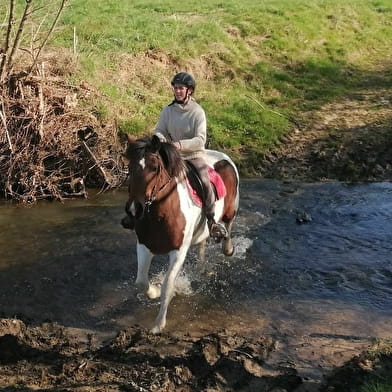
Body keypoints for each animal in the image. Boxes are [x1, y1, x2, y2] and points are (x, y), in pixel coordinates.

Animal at [122, 136, 239, 334]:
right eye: (130, 167)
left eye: (155, 168)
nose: (134, 209)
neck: (161, 214)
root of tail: (223, 156)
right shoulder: (144, 245)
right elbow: (141, 282)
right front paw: (154, 291)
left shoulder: (179, 251)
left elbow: (168, 285)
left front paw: (158, 325)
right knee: (202, 244)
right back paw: (202, 269)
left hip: (231, 210)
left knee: (229, 226)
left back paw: (228, 249)